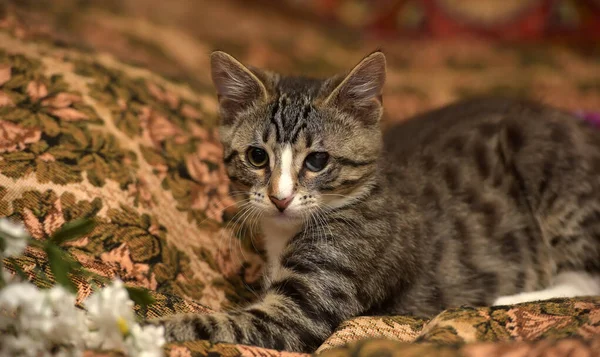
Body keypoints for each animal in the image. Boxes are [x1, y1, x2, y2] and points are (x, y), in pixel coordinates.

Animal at [152, 50, 600, 350]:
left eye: (317, 161)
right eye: (257, 157)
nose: (280, 198)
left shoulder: (315, 297)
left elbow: (224, 326)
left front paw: (145, 326)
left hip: (546, 163)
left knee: (585, 281)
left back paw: (508, 299)